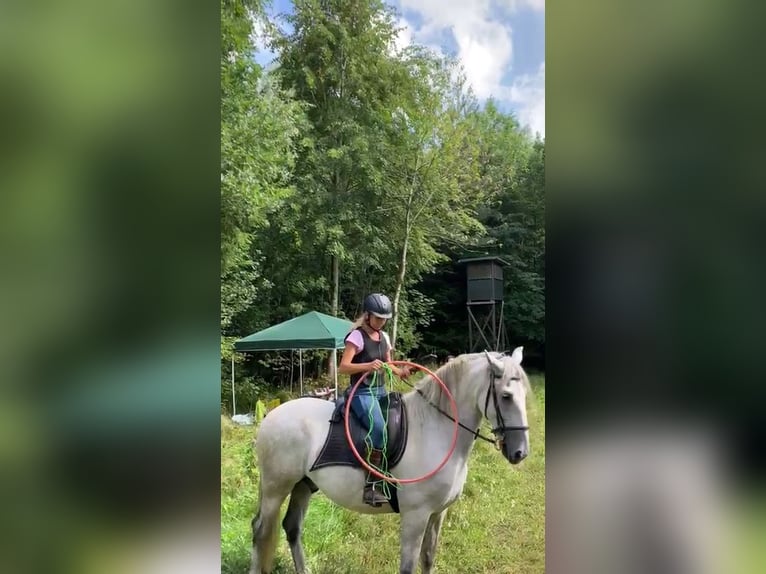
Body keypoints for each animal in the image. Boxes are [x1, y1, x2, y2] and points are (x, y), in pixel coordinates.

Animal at [249, 348, 532, 572]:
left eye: (524, 395)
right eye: (506, 396)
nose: (520, 452)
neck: (433, 428)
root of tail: (271, 416)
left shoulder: (437, 513)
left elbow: (428, 559)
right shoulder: (416, 515)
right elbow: (408, 566)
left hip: (303, 485)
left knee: (291, 528)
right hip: (276, 488)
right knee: (261, 531)